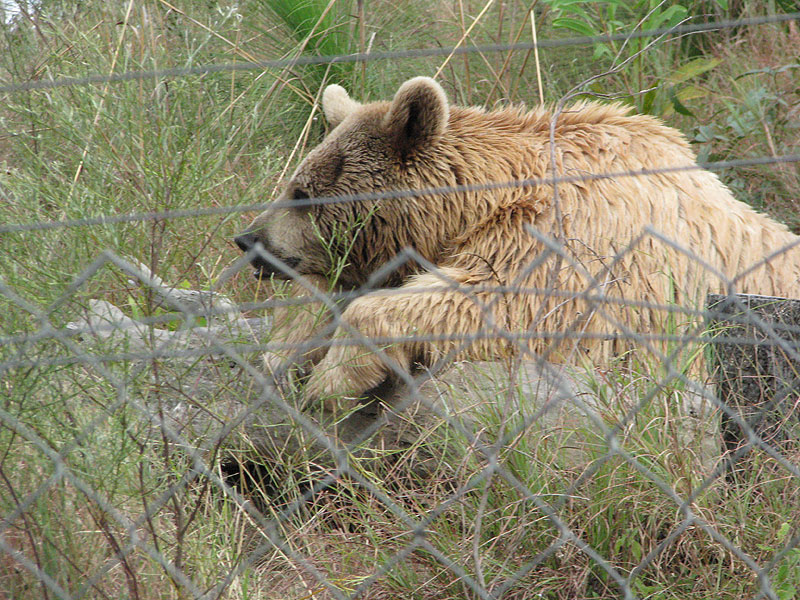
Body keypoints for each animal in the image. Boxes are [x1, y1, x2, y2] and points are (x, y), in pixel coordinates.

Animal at [235, 76, 800, 412]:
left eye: (303, 193)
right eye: (293, 182)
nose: (248, 239)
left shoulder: (575, 243)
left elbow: (497, 302)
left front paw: (331, 380)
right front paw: (283, 352)